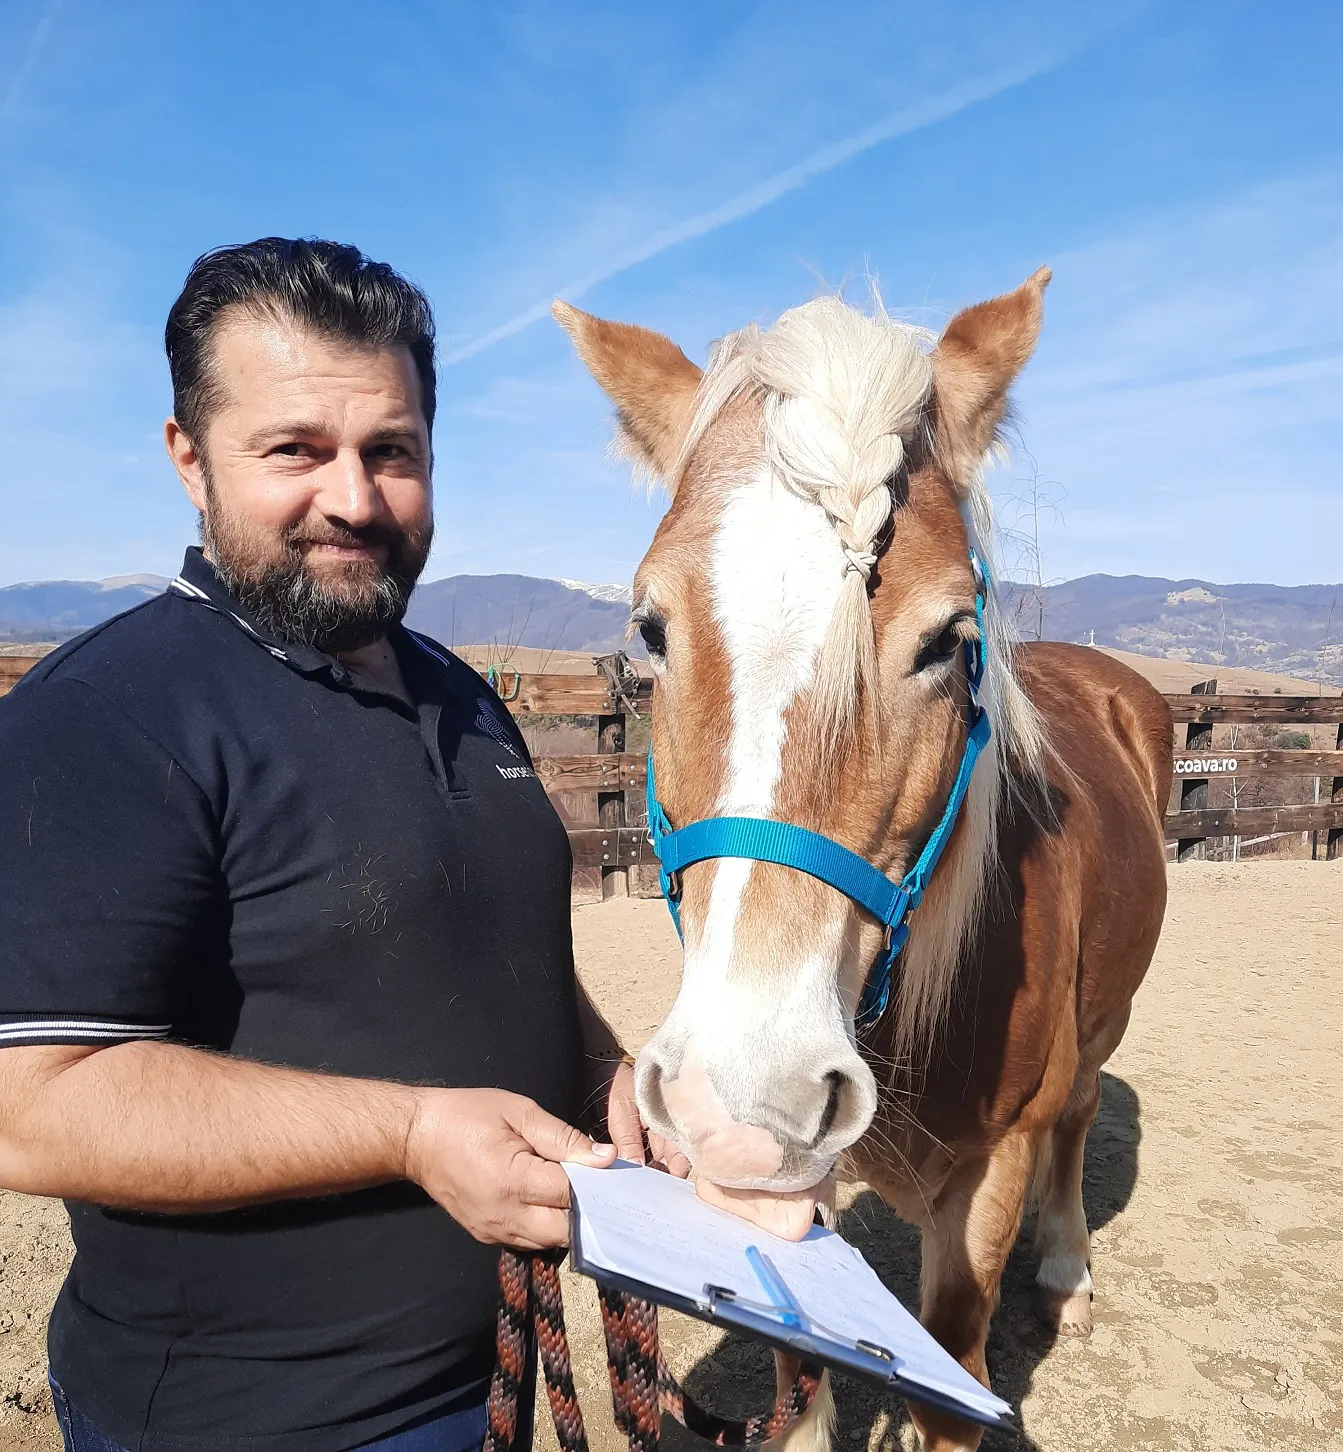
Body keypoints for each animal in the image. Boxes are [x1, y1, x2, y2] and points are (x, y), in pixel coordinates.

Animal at [553, 270, 1172, 1452]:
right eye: (649, 631)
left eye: (949, 642)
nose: (740, 1100)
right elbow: (799, 1384)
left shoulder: (987, 1179)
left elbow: (950, 1367)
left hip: (1103, 1022)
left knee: (1077, 1116)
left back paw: (1064, 1269)